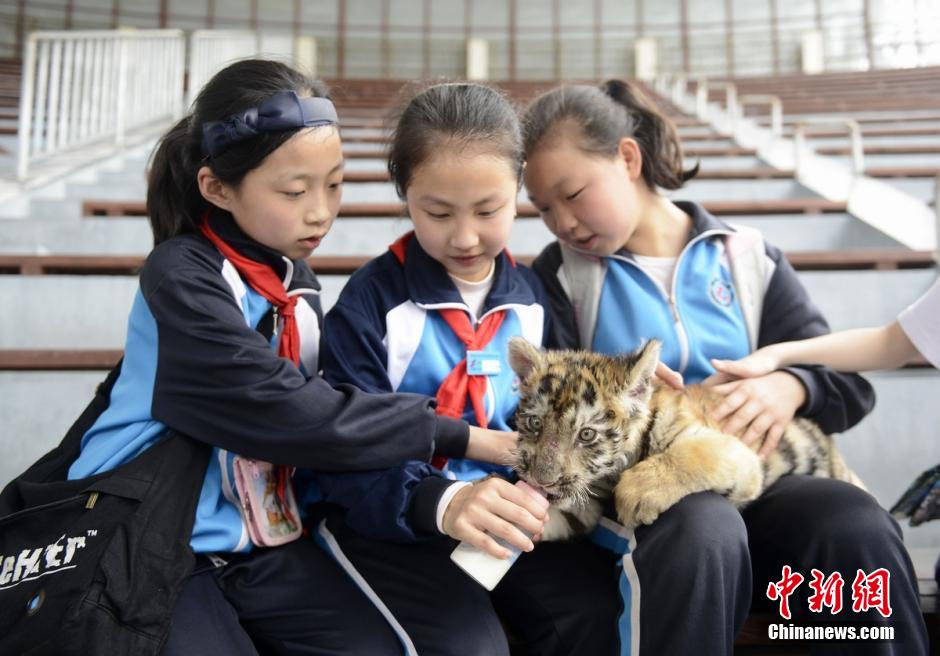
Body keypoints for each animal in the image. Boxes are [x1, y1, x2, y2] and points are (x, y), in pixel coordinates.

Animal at [507, 337, 865, 541]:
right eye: (535, 423)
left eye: (586, 434)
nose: (541, 480)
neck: (609, 475)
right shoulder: (587, 502)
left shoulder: (733, 452)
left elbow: (692, 455)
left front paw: (637, 495)